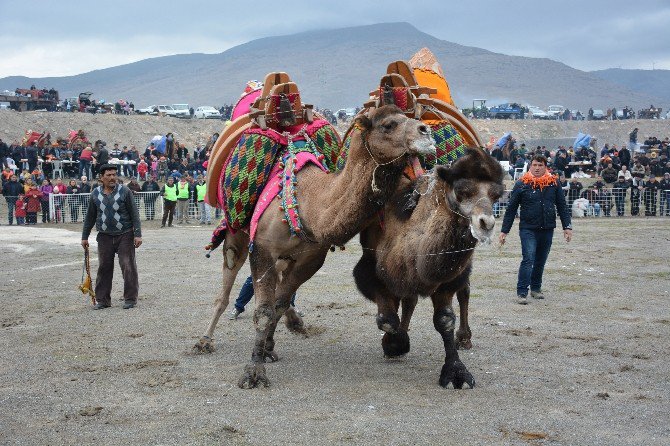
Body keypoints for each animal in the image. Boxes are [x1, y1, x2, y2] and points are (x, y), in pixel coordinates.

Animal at [194, 106, 436, 388]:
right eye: (388, 125)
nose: (426, 132)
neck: (308, 205)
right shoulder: (262, 249)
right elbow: (264, 311)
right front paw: (253, 372)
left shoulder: (310, 260)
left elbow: (278, 303)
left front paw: (267, 348)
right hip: (237, 234)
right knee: (226, 281)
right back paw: (204, 340)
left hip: (284, 258)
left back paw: (286, 330)